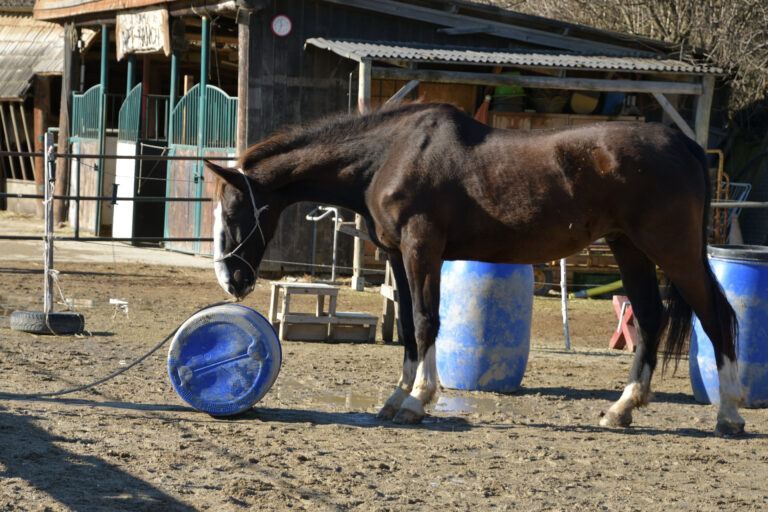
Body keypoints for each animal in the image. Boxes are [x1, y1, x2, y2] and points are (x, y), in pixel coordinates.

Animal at [208, 103, 744, 436]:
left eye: (235, 210)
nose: (233, 281)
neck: (389, 155)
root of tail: (685, 144)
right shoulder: (399, 257)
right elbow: (408, 327)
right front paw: (396, 397)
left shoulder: (422, 249)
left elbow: (427, 322)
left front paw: (417, 401)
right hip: (629, 247)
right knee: (651, 317)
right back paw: (622, 408)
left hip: (673, 250)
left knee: (717, 317)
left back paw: (730, 414)